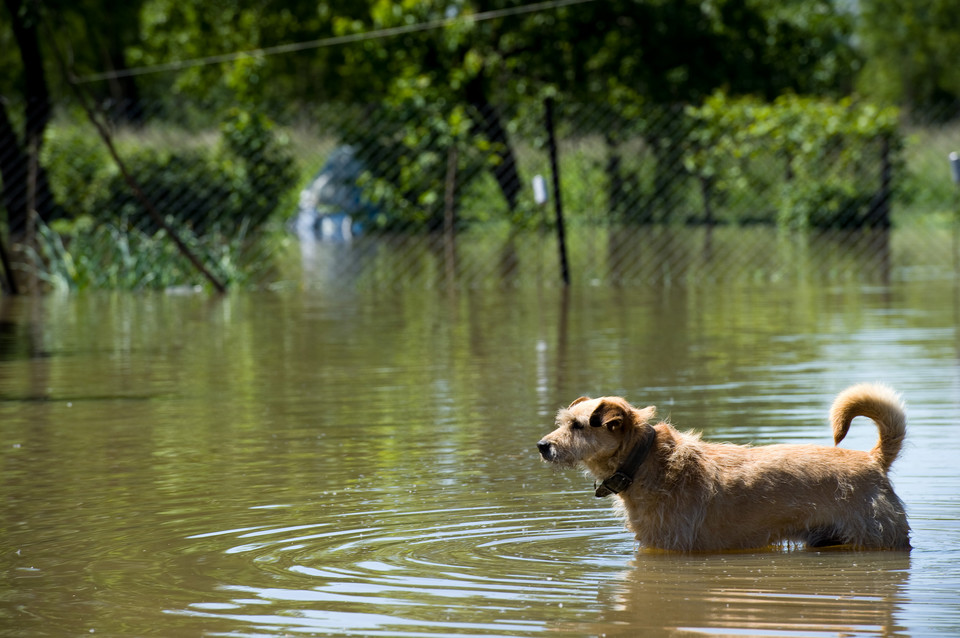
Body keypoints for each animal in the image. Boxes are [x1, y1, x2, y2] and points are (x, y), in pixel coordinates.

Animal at [536, 384, 912, 556]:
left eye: (577, 426)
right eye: (563, 423)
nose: (542, 445)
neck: (643, 461)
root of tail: (872, 460)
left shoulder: (667, 546)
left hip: (877, 538)